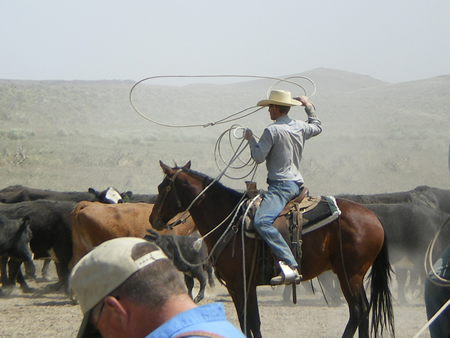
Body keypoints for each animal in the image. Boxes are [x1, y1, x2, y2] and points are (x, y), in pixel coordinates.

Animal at [150, 162, 394, 338]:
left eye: (162, 188)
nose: (153, 219)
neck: (228, 219)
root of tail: (375, 218)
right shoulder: (236, 287)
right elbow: (247, 323)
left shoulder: (244, 284)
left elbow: (252, 322)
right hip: (353, 275)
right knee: (364, 311)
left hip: (349, 275)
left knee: (358, 310)